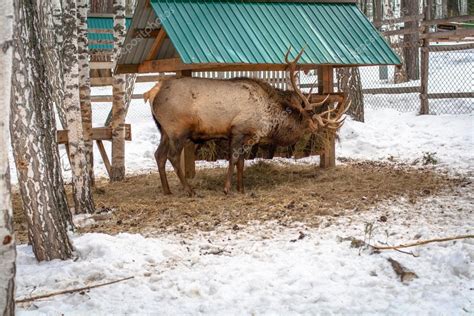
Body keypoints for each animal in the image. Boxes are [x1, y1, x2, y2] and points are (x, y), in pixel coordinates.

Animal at [144, 48, 348, 195]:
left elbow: (241, 163)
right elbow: (233, 159)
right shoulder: (238, 130)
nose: (317, 126)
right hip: (177, 130)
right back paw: (189, 190)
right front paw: (227, 188)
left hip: (164, 131)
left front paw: (241, 189)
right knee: (172, 156)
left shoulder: (249, 137)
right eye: (306, 118)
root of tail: (154, 94)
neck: (268, 120)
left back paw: (167, 190)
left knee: (159, 155)